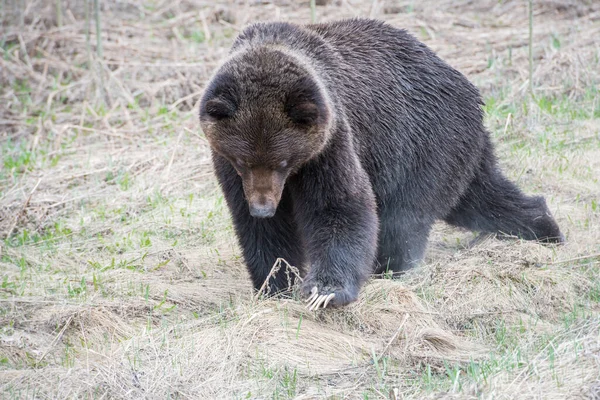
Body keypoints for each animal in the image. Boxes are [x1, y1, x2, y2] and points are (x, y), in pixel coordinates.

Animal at [199, 18, 564, 310]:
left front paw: (325, 290)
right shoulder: (229, 168)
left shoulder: (331, 143)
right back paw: (542, 225)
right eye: (243, 160)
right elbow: (261, 230)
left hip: (424, 145)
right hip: (456, 151)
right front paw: (275, 283)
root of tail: (469, 89)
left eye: (283, 160)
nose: (263, 207)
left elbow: (340, 205)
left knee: (404, 219)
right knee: (480, 197)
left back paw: (393, 269)